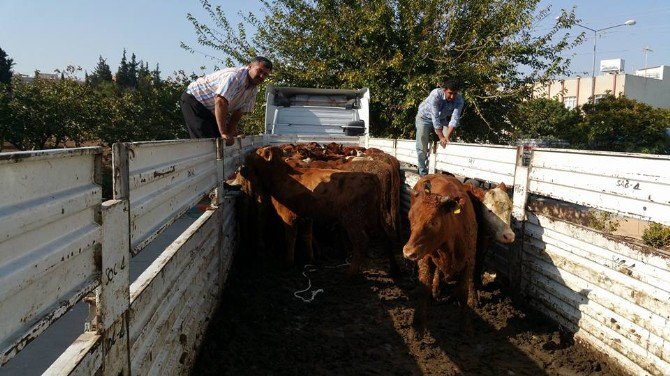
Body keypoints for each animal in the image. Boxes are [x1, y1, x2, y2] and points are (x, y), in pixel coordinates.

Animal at [242, 145, 400, 276]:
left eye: (257, 153)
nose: (246, 155)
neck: (283, 176)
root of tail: (372, 177)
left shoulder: (289, 217)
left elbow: (290, 239)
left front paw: (288, 263)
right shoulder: (306, 217)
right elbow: (307, 236)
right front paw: (310, 259)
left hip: (353, 219)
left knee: (361, 242)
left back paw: (351, 273)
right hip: (372, 216)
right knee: (386, 236)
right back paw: (394, 268)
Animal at [404, 175, 478, 322]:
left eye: (434, 222)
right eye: (410, 217)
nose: (408, 252)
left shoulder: (469, 261)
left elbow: (463, 293)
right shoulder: (425, 257)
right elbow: (424, 287)